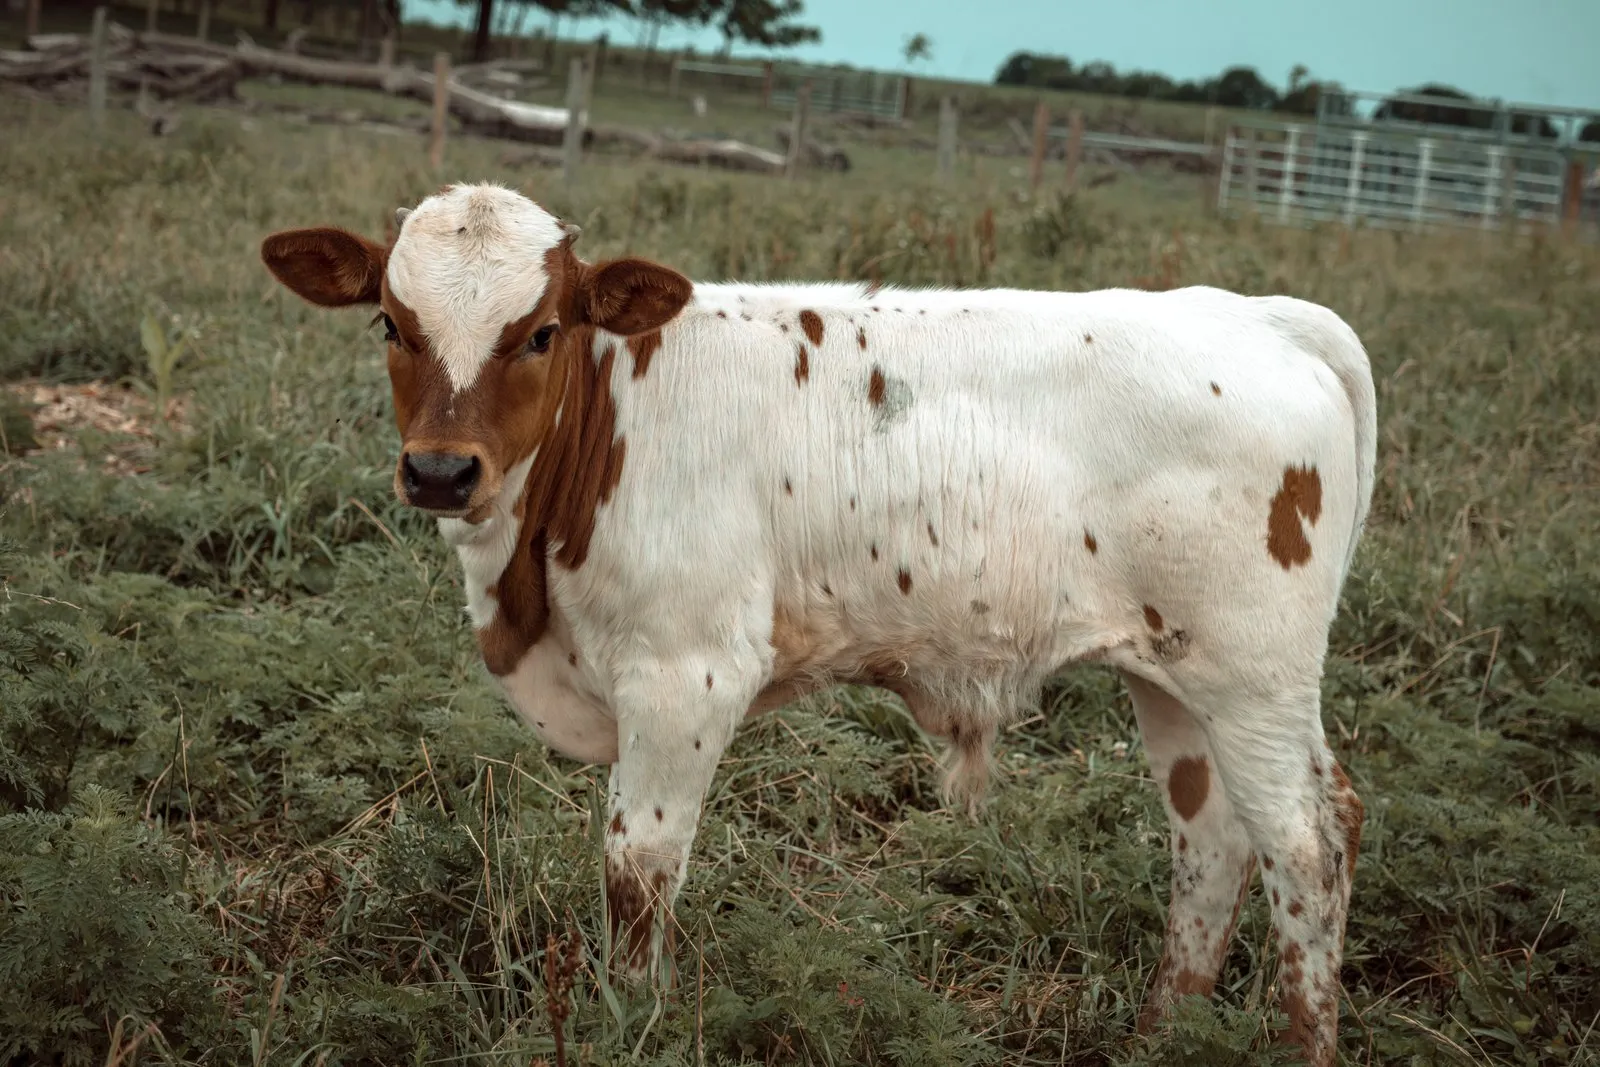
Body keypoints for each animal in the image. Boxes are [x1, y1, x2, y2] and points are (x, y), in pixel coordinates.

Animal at [260, 181, 1377, 1066]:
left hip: (1254, 677)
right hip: (1170, 672)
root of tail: (1260, 317)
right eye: (390, 323)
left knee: (1305, 841)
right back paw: (1161, 1032)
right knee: (1210, 836)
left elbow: (637, 862)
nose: (441, 470)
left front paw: (633, 1018)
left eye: (539, 331)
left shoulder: (687, 671)